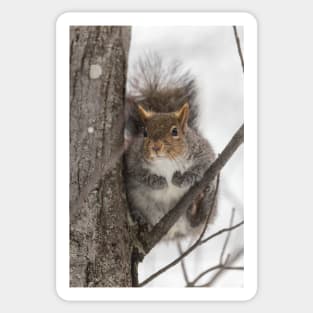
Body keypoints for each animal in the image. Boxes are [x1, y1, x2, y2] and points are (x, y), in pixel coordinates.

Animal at [124, 54, 217, 239]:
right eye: (145, 133)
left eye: (175, 131)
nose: (155, 146)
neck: (166, 161)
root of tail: (176, 231)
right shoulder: (132, 159)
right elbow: (138, 173)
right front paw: (158, 181)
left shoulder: (204, 152)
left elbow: (203, 165)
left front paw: (182, 179)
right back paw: (140, 218)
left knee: (198, 220)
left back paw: (200, 200)